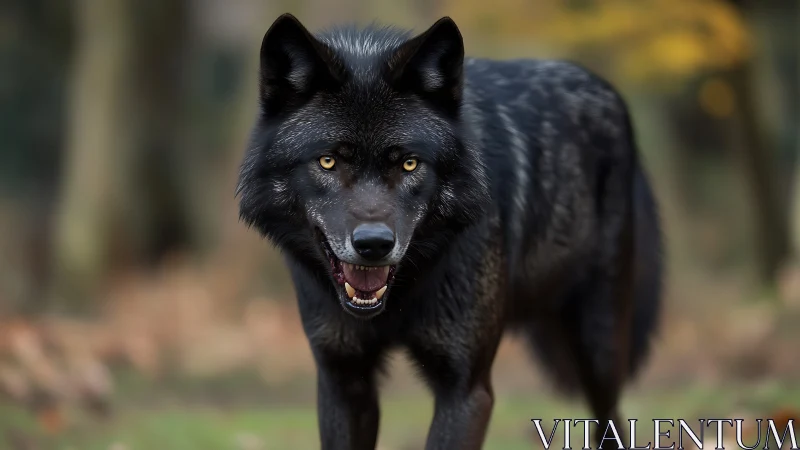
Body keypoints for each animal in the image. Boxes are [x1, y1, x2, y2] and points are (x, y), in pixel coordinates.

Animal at [237, 13, 662, 450]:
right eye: (327, 161)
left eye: (409, 163)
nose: (374, 245)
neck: (399, 297)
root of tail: (605, 89)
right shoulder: (343, 383)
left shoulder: (466, 389)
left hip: (600, 347)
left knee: (610, 418)